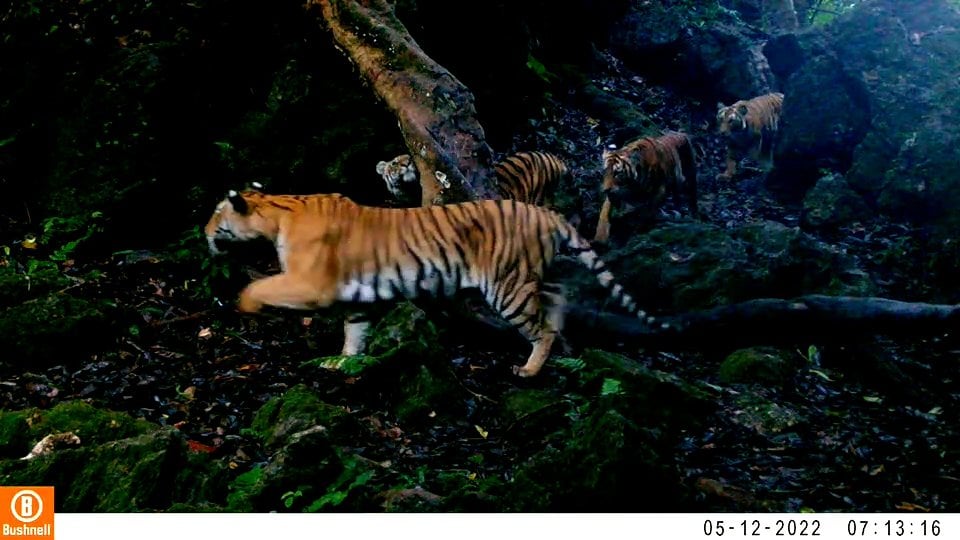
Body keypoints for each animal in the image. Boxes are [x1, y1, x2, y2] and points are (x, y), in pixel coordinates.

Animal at [204, 188, 668, 378]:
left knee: (540, 328)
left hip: (507, 287)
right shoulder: (356, 299)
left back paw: (530, 368)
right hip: (526, 277)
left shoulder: (310, 284)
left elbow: (259, 286)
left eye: (216, 213)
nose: (203, 230)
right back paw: (566, 344)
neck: (276, 211)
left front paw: (245, 306)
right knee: (558, 295)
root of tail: (546, 213)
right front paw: (343, 363)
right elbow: (354, 334)